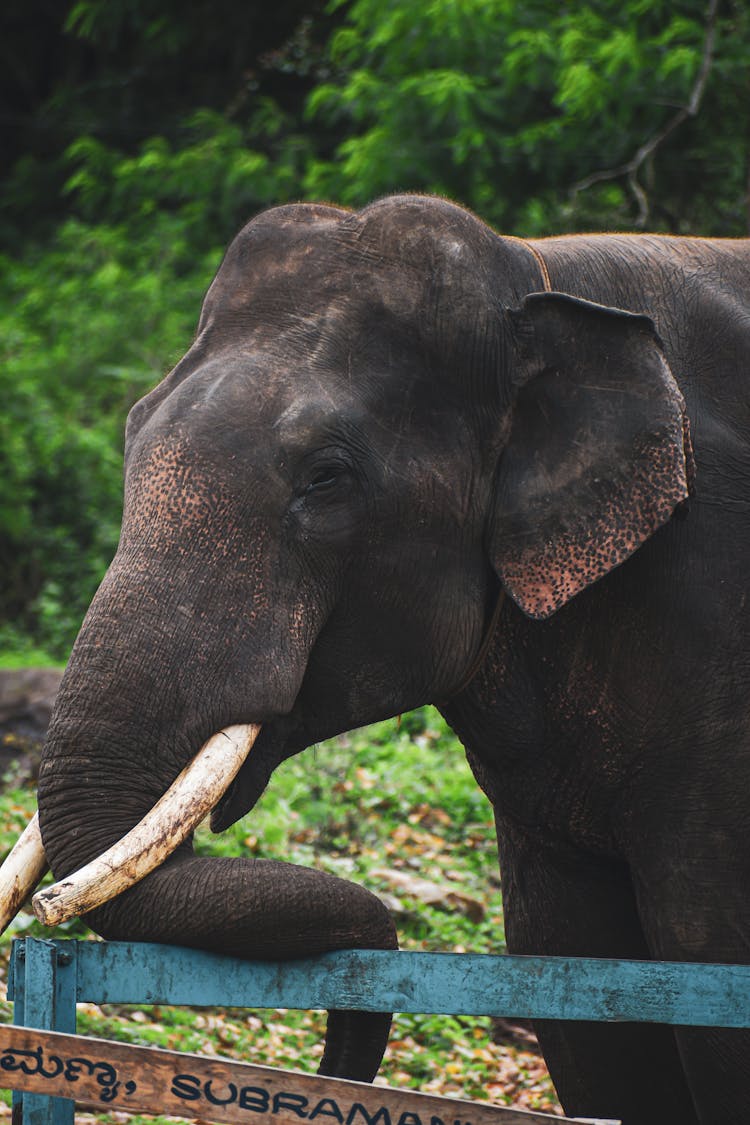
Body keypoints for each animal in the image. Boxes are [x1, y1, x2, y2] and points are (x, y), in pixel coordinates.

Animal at [16, 195, 750, 1125]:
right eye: (131, 430)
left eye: (326, 475)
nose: (44, 907)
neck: (539, 275)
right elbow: (585, 997)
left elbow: (709, 969)